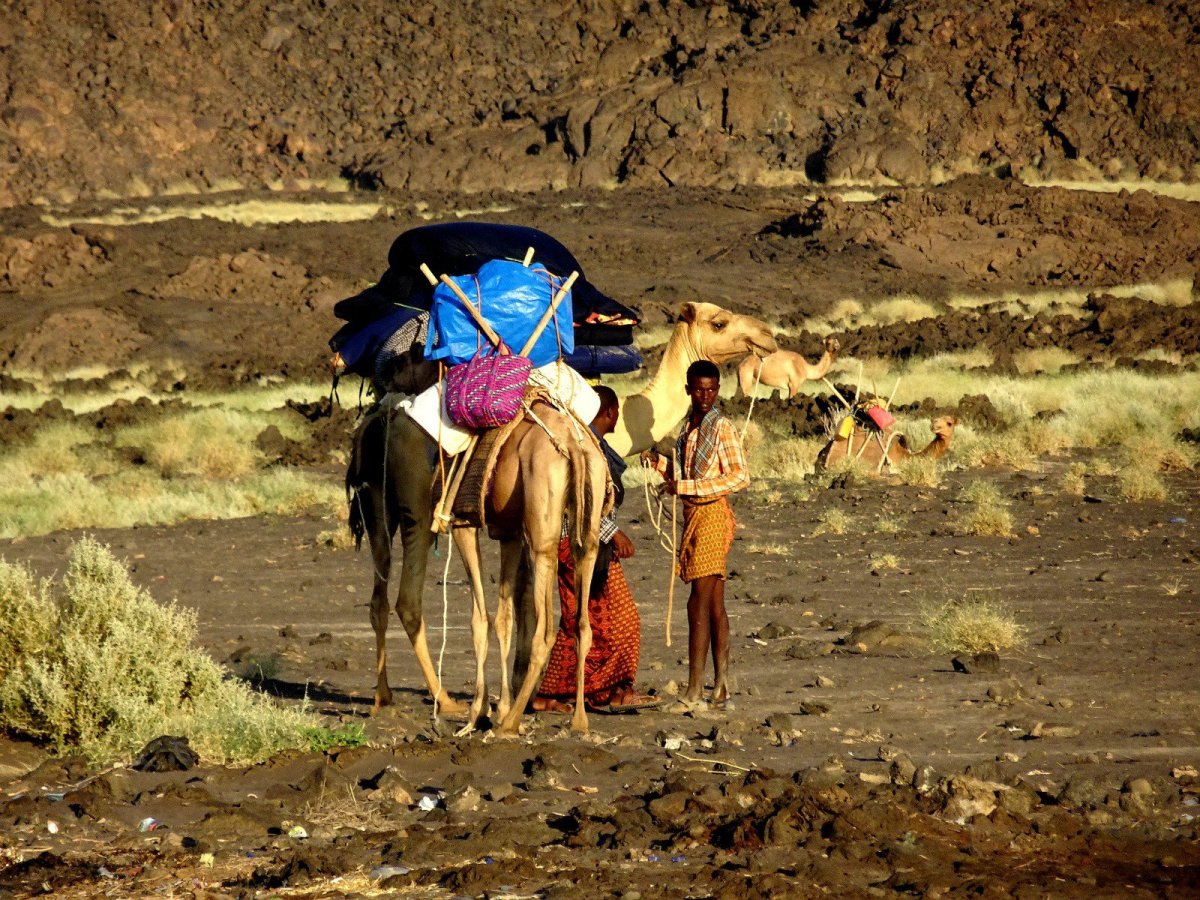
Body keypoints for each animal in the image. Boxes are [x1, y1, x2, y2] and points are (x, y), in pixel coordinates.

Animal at [346, 300, 777, 728]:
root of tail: (379, 418)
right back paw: (447, 702)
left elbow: (517, 610)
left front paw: (511, 700)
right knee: (409, 599)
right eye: (719, 322)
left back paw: (385, 698)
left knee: (380, 594)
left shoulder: (516, 526)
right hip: (418, 503)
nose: (768, 336)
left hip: (378, 504)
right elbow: (514, 611)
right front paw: (508, 703)